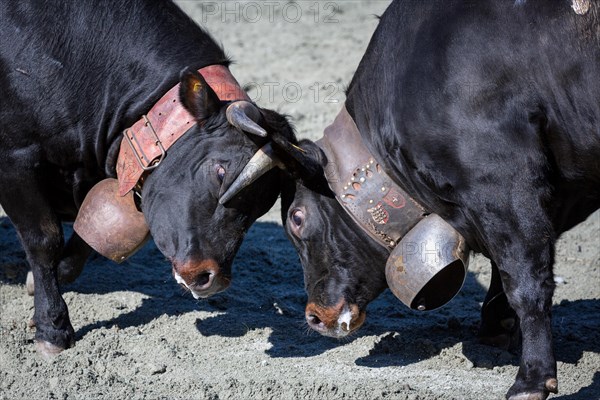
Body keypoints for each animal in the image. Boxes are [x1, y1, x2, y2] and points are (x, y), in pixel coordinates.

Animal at [0, 0, 298, 356]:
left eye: (263, 206)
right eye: (220, 171)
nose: (210, 278)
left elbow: (86, 241)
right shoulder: (14, 158)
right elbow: (44, 239)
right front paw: (53, 328)